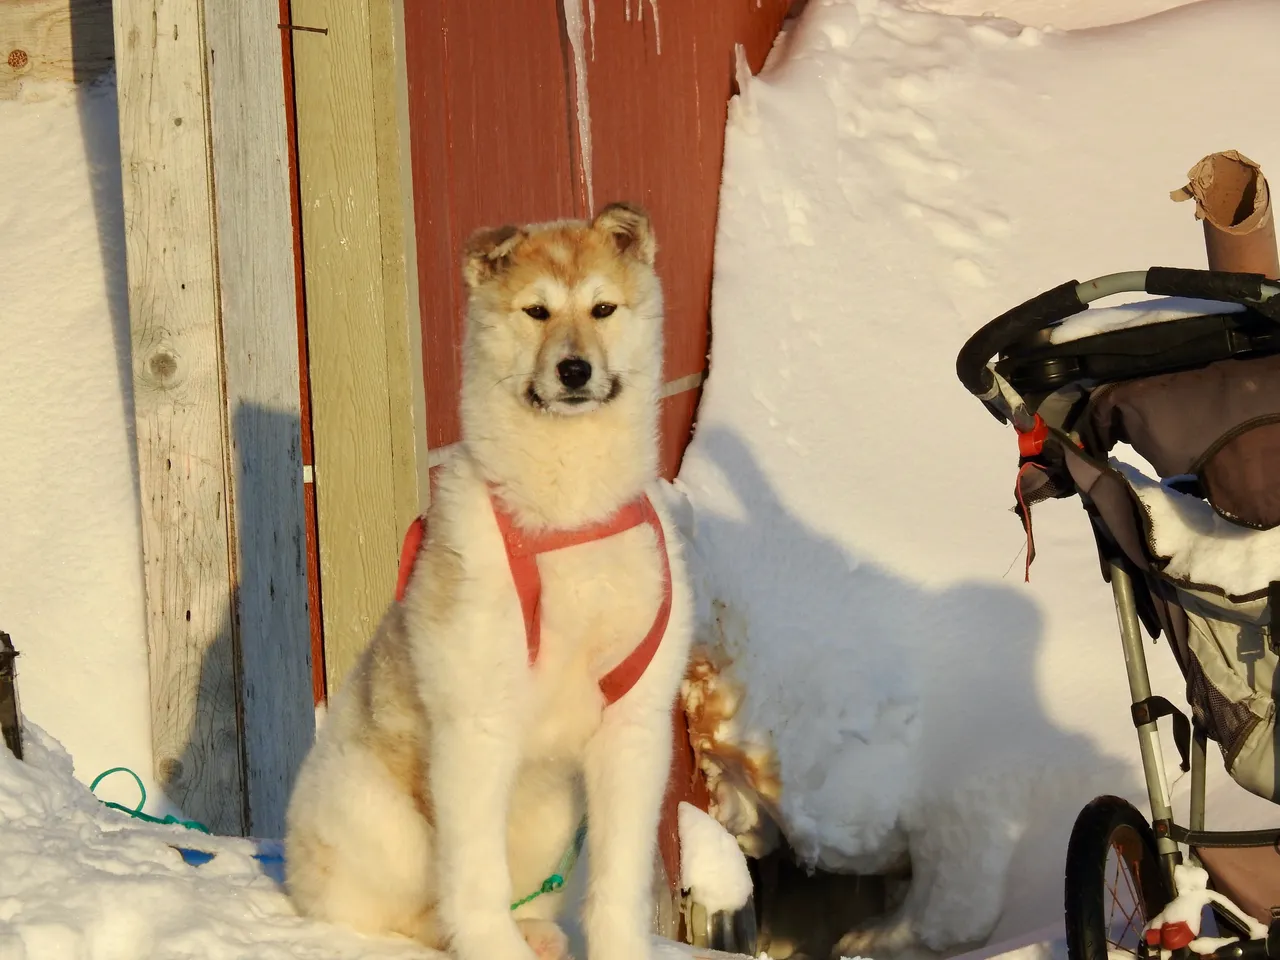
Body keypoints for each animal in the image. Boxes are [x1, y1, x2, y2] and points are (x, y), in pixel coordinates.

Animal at [286, 203, 696, 960]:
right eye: (536, 310)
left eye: (603, 307)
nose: (574, 368)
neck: (565, 518)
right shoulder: (477, 723)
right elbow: (473, 879)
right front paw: (492, 948)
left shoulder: (634, 726)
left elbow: (618, 883)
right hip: (384, 823)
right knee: (406, 910)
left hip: (551, 817)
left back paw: (536, 932)